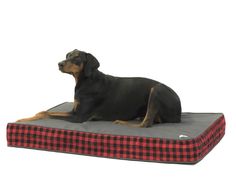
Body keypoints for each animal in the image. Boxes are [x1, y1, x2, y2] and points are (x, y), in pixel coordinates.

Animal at [17, 49, 182, 127]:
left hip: (156, 89)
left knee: (146, 124)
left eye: (77, 57)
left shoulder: (79, 117)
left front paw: (23, 120)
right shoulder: (74, 111)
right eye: (68, 55)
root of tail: (179, 114)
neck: (86, 81)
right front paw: (24, 118)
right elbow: (44, 111)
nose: (59, 63)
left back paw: (122, 121)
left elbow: (48, 115)